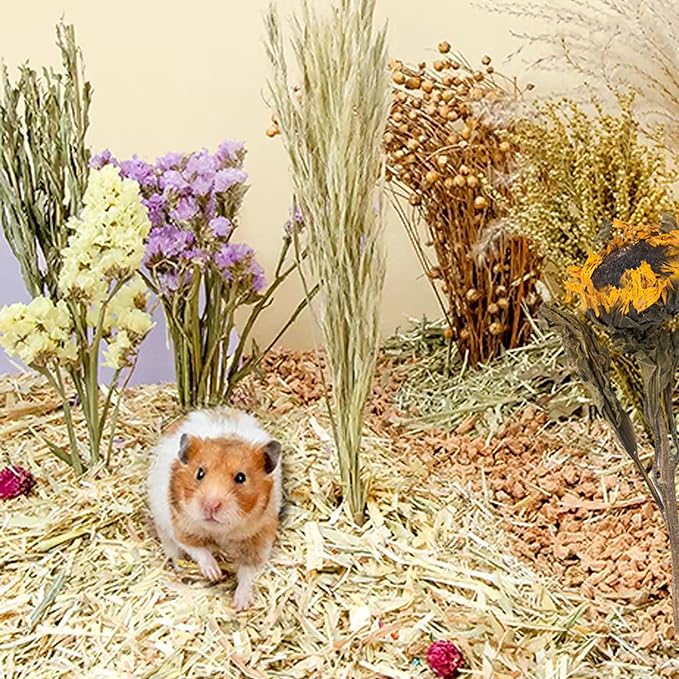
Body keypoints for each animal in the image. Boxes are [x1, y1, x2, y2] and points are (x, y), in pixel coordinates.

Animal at [147, 407, 282, 610]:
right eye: (200, 473)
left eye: (241, 478)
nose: (210, 505)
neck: (220, 532)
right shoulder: (181, 526)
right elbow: (198, 550)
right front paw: (215, 573)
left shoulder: (259, 540)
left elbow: (248, 573)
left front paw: (239, 605)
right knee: (174, 553)